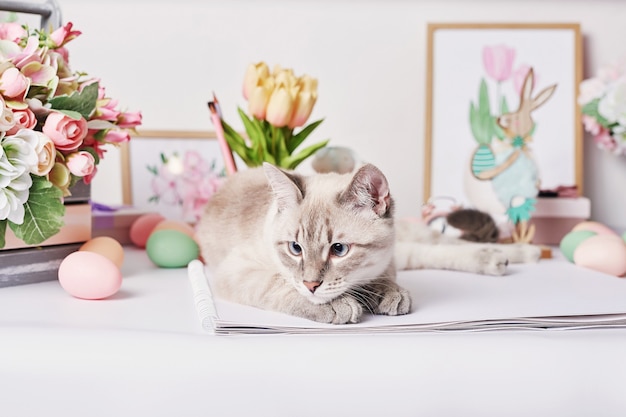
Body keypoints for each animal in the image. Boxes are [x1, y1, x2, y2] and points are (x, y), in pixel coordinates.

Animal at [197, 162, 540, 322]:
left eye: (338, 250)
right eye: (295, 249)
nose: (311, 285)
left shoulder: (385, 261)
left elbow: (381, 278)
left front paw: (387, 295)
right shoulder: (237, 271)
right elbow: (281, 286)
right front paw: (339, 305)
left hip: (411, 240)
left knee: (444, 245)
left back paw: (519, 253)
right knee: (433, 251)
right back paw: (502, 257)